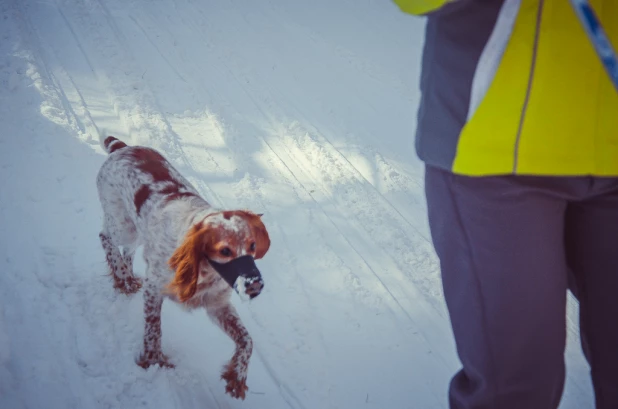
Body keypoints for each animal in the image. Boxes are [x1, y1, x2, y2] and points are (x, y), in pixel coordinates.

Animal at [96, 135, 270, 396]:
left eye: (252, 246)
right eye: (224, 250)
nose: (255, 285)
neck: (205, 272)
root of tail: (122, 147)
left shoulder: (217, 306)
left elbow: (246, 340)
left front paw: (237, 377)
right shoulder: (155, 289)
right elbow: (154, 328)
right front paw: (153, 360)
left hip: (136, 232)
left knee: (127, 252)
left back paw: (128, 279)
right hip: (123, 226)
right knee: (105, 237)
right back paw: (123, 278)